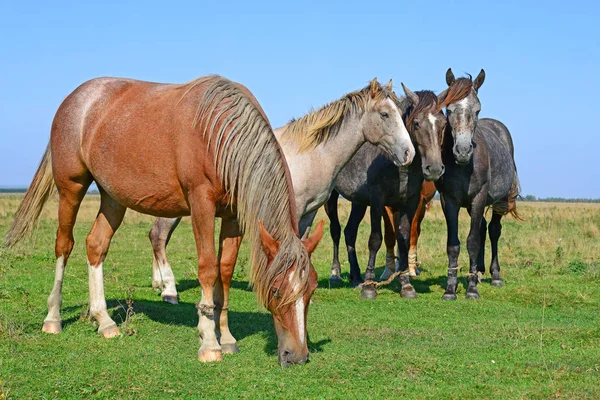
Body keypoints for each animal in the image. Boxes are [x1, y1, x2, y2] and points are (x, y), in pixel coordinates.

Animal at [3, 75, 328, 366]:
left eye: (310, 290)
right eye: (275, 290)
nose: (297, 356)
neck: (220, 134)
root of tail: (76, 99)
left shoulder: (233, 216)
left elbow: (224, 270)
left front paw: (227, 337)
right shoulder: (201, 205)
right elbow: (207, 268)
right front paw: (209, 342)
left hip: (112, 198)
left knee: (96, 245)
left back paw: (105, 321)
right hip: (71, 186)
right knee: (64, 244)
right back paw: (53, 318)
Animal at [145, 78, 418, 304]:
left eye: (401, 113)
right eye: (385, 114)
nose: (409, 153)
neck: (310, 153)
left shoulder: (308, 212)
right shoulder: (292, 209)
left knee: (157, 236)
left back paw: (160, 284)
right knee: (159, 236)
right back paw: (169, 291)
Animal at [326, 86, 448, 300]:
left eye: (443, 123)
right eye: (416, 123)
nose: (433, 169)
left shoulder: (410, 202)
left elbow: (404, 239)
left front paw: (406, 284)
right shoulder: (378, 200)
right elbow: (375, 240)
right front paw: (369, 287)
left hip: (358, 202)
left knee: (350, 232)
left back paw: (356, 277)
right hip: (331, 199)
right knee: (335, 230)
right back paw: (336, 274)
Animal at [434, 69, 524, 300]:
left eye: (477, 109)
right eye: (449, 109)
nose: (463, 151)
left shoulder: (479, 197)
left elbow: (473, 242)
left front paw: (472, 289)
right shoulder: (449, 201)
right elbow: (453, 244)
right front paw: (451, 289)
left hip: (499, 200)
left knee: (493, 230)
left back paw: (494, 275)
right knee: (483, 228)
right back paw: (480, 272)